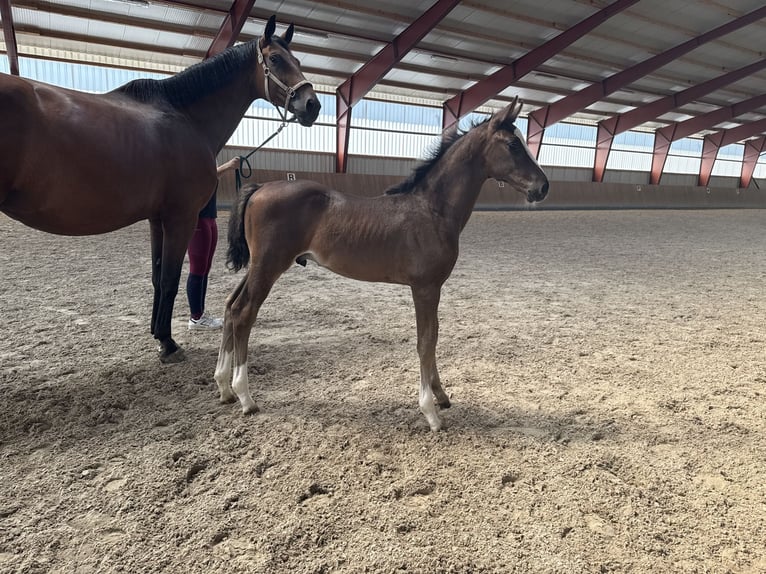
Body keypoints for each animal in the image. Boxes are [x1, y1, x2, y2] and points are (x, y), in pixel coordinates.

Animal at [0, 16, 320, 363]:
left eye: (298, 60)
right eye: (275, 59)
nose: (312, 105)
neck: (185, 116)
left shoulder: (157, 219)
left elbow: (156, 278)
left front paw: (157, 334)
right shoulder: (181, 218)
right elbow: (170, 279)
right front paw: (168, 343)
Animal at [214, 98, 549, 431]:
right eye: (513, 145)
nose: (543, 187)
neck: (433, 210)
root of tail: (259, 188)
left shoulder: (433, 289)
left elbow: (434, 336)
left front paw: (441, 395)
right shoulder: (425, 288)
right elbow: (425, 341)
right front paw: (430, 413)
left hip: (258, 266)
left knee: (230, 306)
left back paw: (223, 387)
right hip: (269, 266)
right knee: (244, 313)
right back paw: (245, 397)